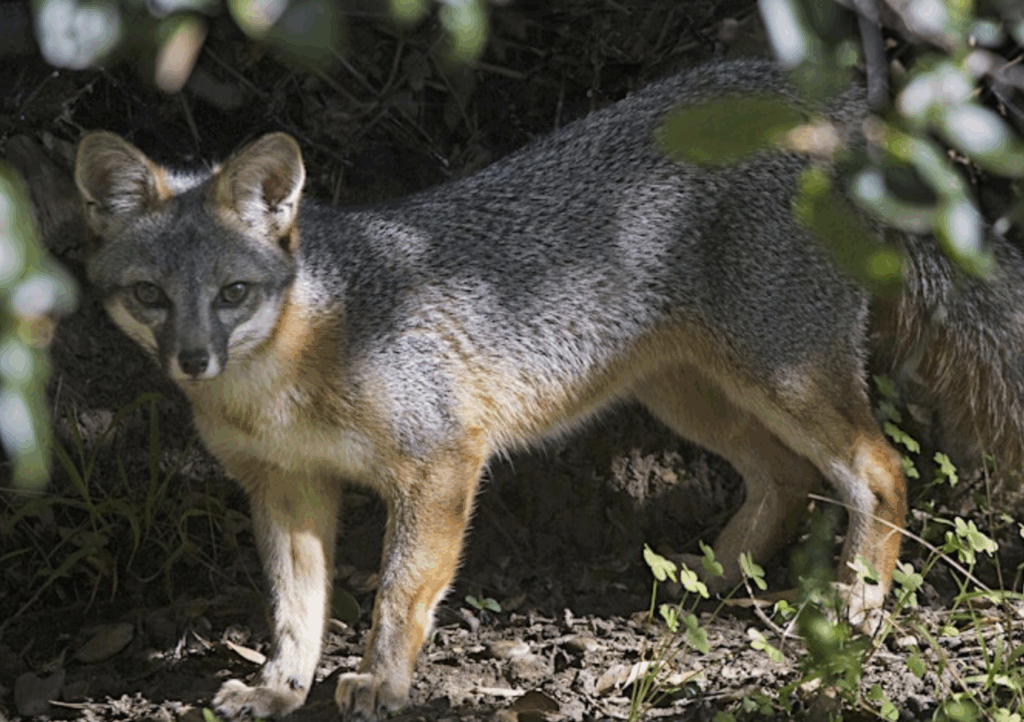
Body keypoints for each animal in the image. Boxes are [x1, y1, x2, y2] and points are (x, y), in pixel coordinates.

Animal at [73, 58, 1024, 720]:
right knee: (783, 477)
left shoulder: (442, 459)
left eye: (234, 293)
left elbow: (397, 594)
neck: (281, 382)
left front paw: (382, 682)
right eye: (151, 296)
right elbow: (294, 610)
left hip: (781, 374)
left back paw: (857, 604)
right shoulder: (286, 486)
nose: (193, 359)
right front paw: (279, 687)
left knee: (882, 470)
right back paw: (705, 580)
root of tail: (811, 95)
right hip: (688, 393)